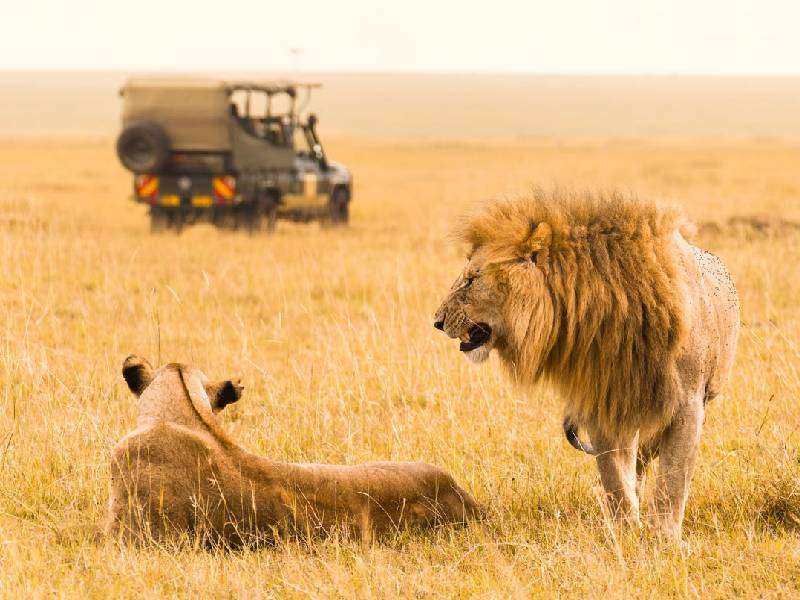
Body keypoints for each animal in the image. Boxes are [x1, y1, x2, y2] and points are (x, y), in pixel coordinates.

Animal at [433, 189, 739, 539]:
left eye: (472, 280)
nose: (437, 321)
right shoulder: (604, 403)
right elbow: (614, 475)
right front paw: (625, 531)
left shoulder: (687, 403)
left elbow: (673, 477)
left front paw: (664, 537)